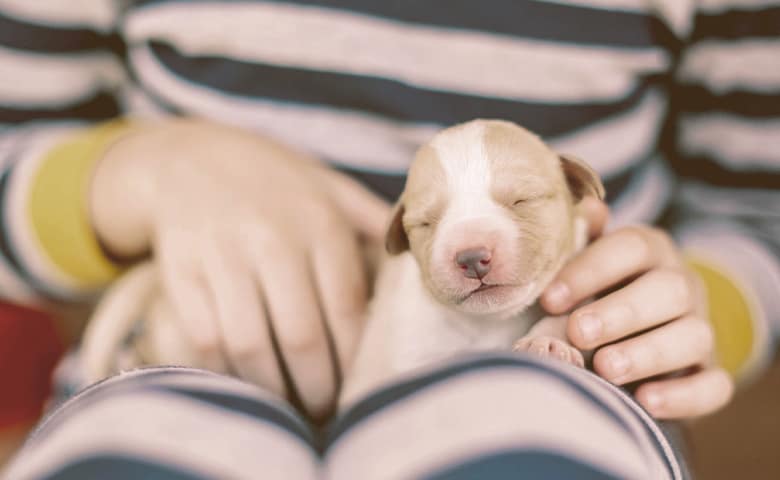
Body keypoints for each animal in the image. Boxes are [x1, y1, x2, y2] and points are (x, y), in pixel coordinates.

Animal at [340, 119, 604, 404]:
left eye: (521, 200)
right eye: (425, 222)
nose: (472, 258)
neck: (491, 320)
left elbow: (568, 313)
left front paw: (548, 342)